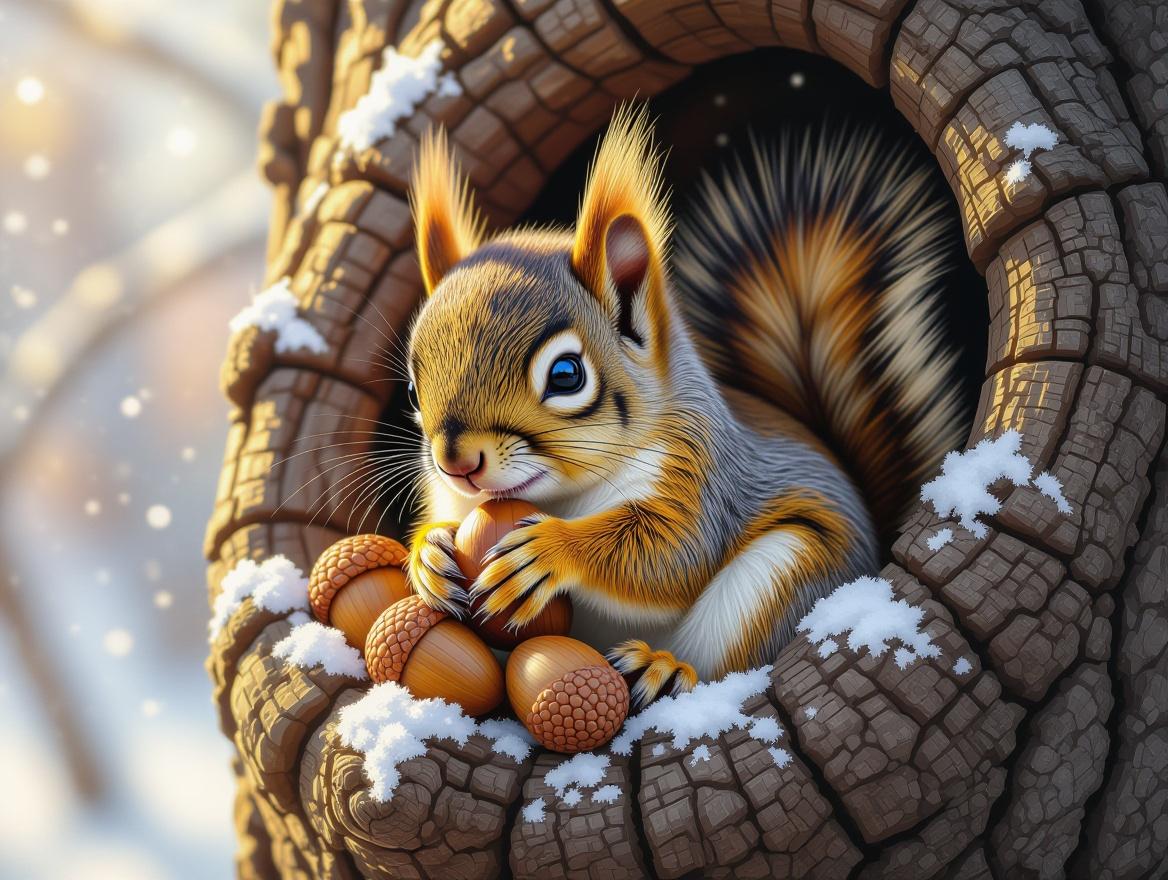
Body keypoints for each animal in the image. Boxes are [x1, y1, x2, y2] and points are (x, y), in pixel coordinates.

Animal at [401, 105, 962, 708]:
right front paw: (428, 554)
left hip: (783, 574)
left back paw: (663, 669)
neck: (566, 495)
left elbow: (670, 554)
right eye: (412, 390)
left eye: (567, 375)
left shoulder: (700, 473)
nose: (458, 463)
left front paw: (550, 551)